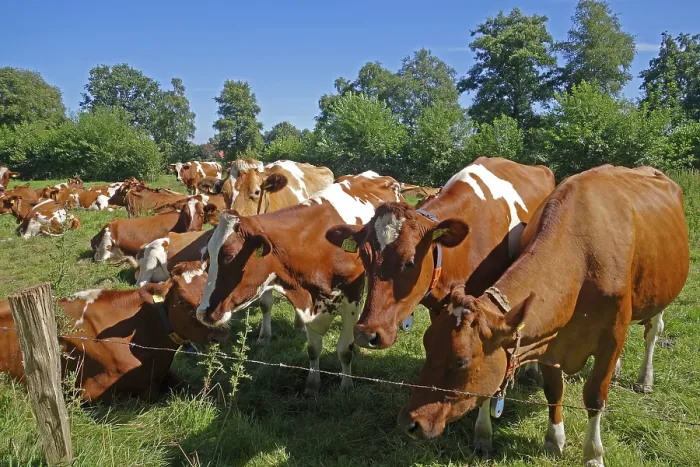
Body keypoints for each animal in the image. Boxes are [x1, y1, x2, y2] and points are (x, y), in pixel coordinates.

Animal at [196, 171, 402, 394]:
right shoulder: (308, 301)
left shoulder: (352, 299)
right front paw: (312, 384)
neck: (316, 245)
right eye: (208, 257)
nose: (203, 313)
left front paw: (346, 386)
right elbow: (313, 349)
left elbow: (345, 350)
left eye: (230, 256)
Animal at [396, 165, 690, 467]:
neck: (581, 258)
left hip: (662, 292)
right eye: (427, 346)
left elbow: (595, 396)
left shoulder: (612, 335)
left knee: (652, 332)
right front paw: (554, 440)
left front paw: (593, 454)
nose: (409, 423)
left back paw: (645, 379)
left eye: (460, 361)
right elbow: (554, 390)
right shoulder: (551, 336)